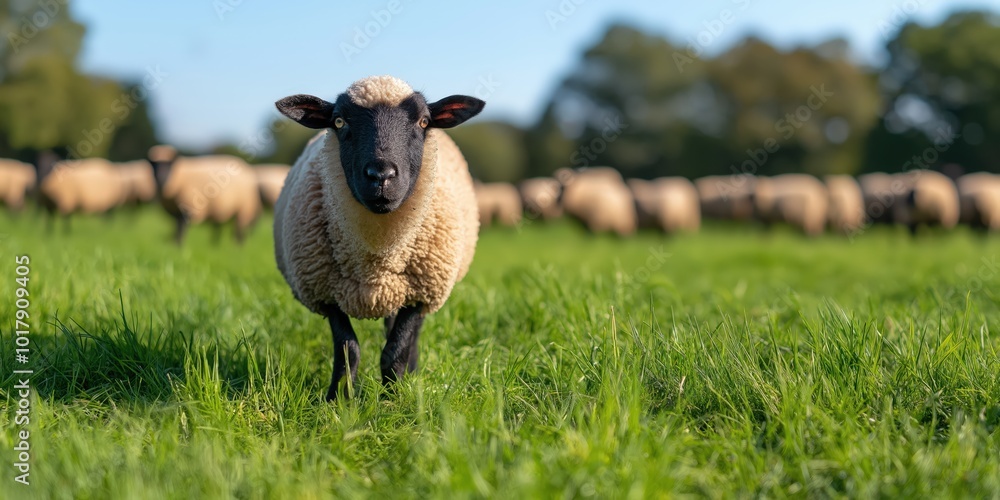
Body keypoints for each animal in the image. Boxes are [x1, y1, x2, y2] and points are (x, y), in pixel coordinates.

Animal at [272, 75, 485, 399]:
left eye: (424, 121)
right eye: (339, 121)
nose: (381, 175)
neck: (377, 258)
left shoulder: (422, 293)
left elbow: (395, 350)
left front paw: (394, 398)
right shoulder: (324, 292)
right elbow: (348, 348)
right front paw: (338, 399)